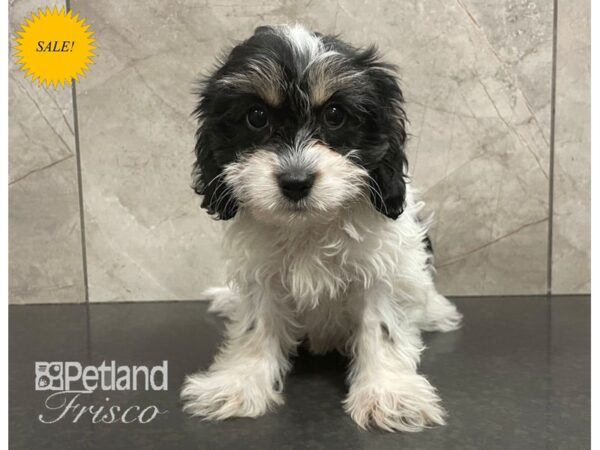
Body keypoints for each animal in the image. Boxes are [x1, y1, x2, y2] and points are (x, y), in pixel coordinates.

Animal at [180, 24, 462, 432]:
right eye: (255, 116)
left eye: (334, 114)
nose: (296, 182)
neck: (311, 226)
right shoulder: (263, 274)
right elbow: (256, 325)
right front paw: (239, 382)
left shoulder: (382, 267)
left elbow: (382, 326)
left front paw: (388, 393)